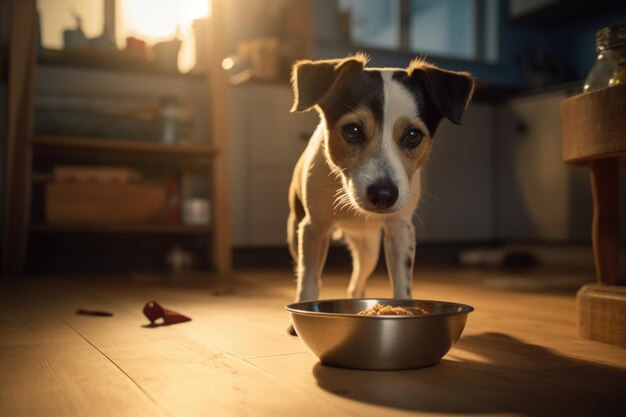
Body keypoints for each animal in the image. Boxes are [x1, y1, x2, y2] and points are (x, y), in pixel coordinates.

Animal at [286, 55, 470, 334]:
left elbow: (403, 283)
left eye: (413, 135)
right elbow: (308, 280)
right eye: (352, 130)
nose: (383, 194)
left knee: (356, 282)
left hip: (370, 250)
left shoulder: (400, 230)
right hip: (296, 234)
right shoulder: (314, 228)